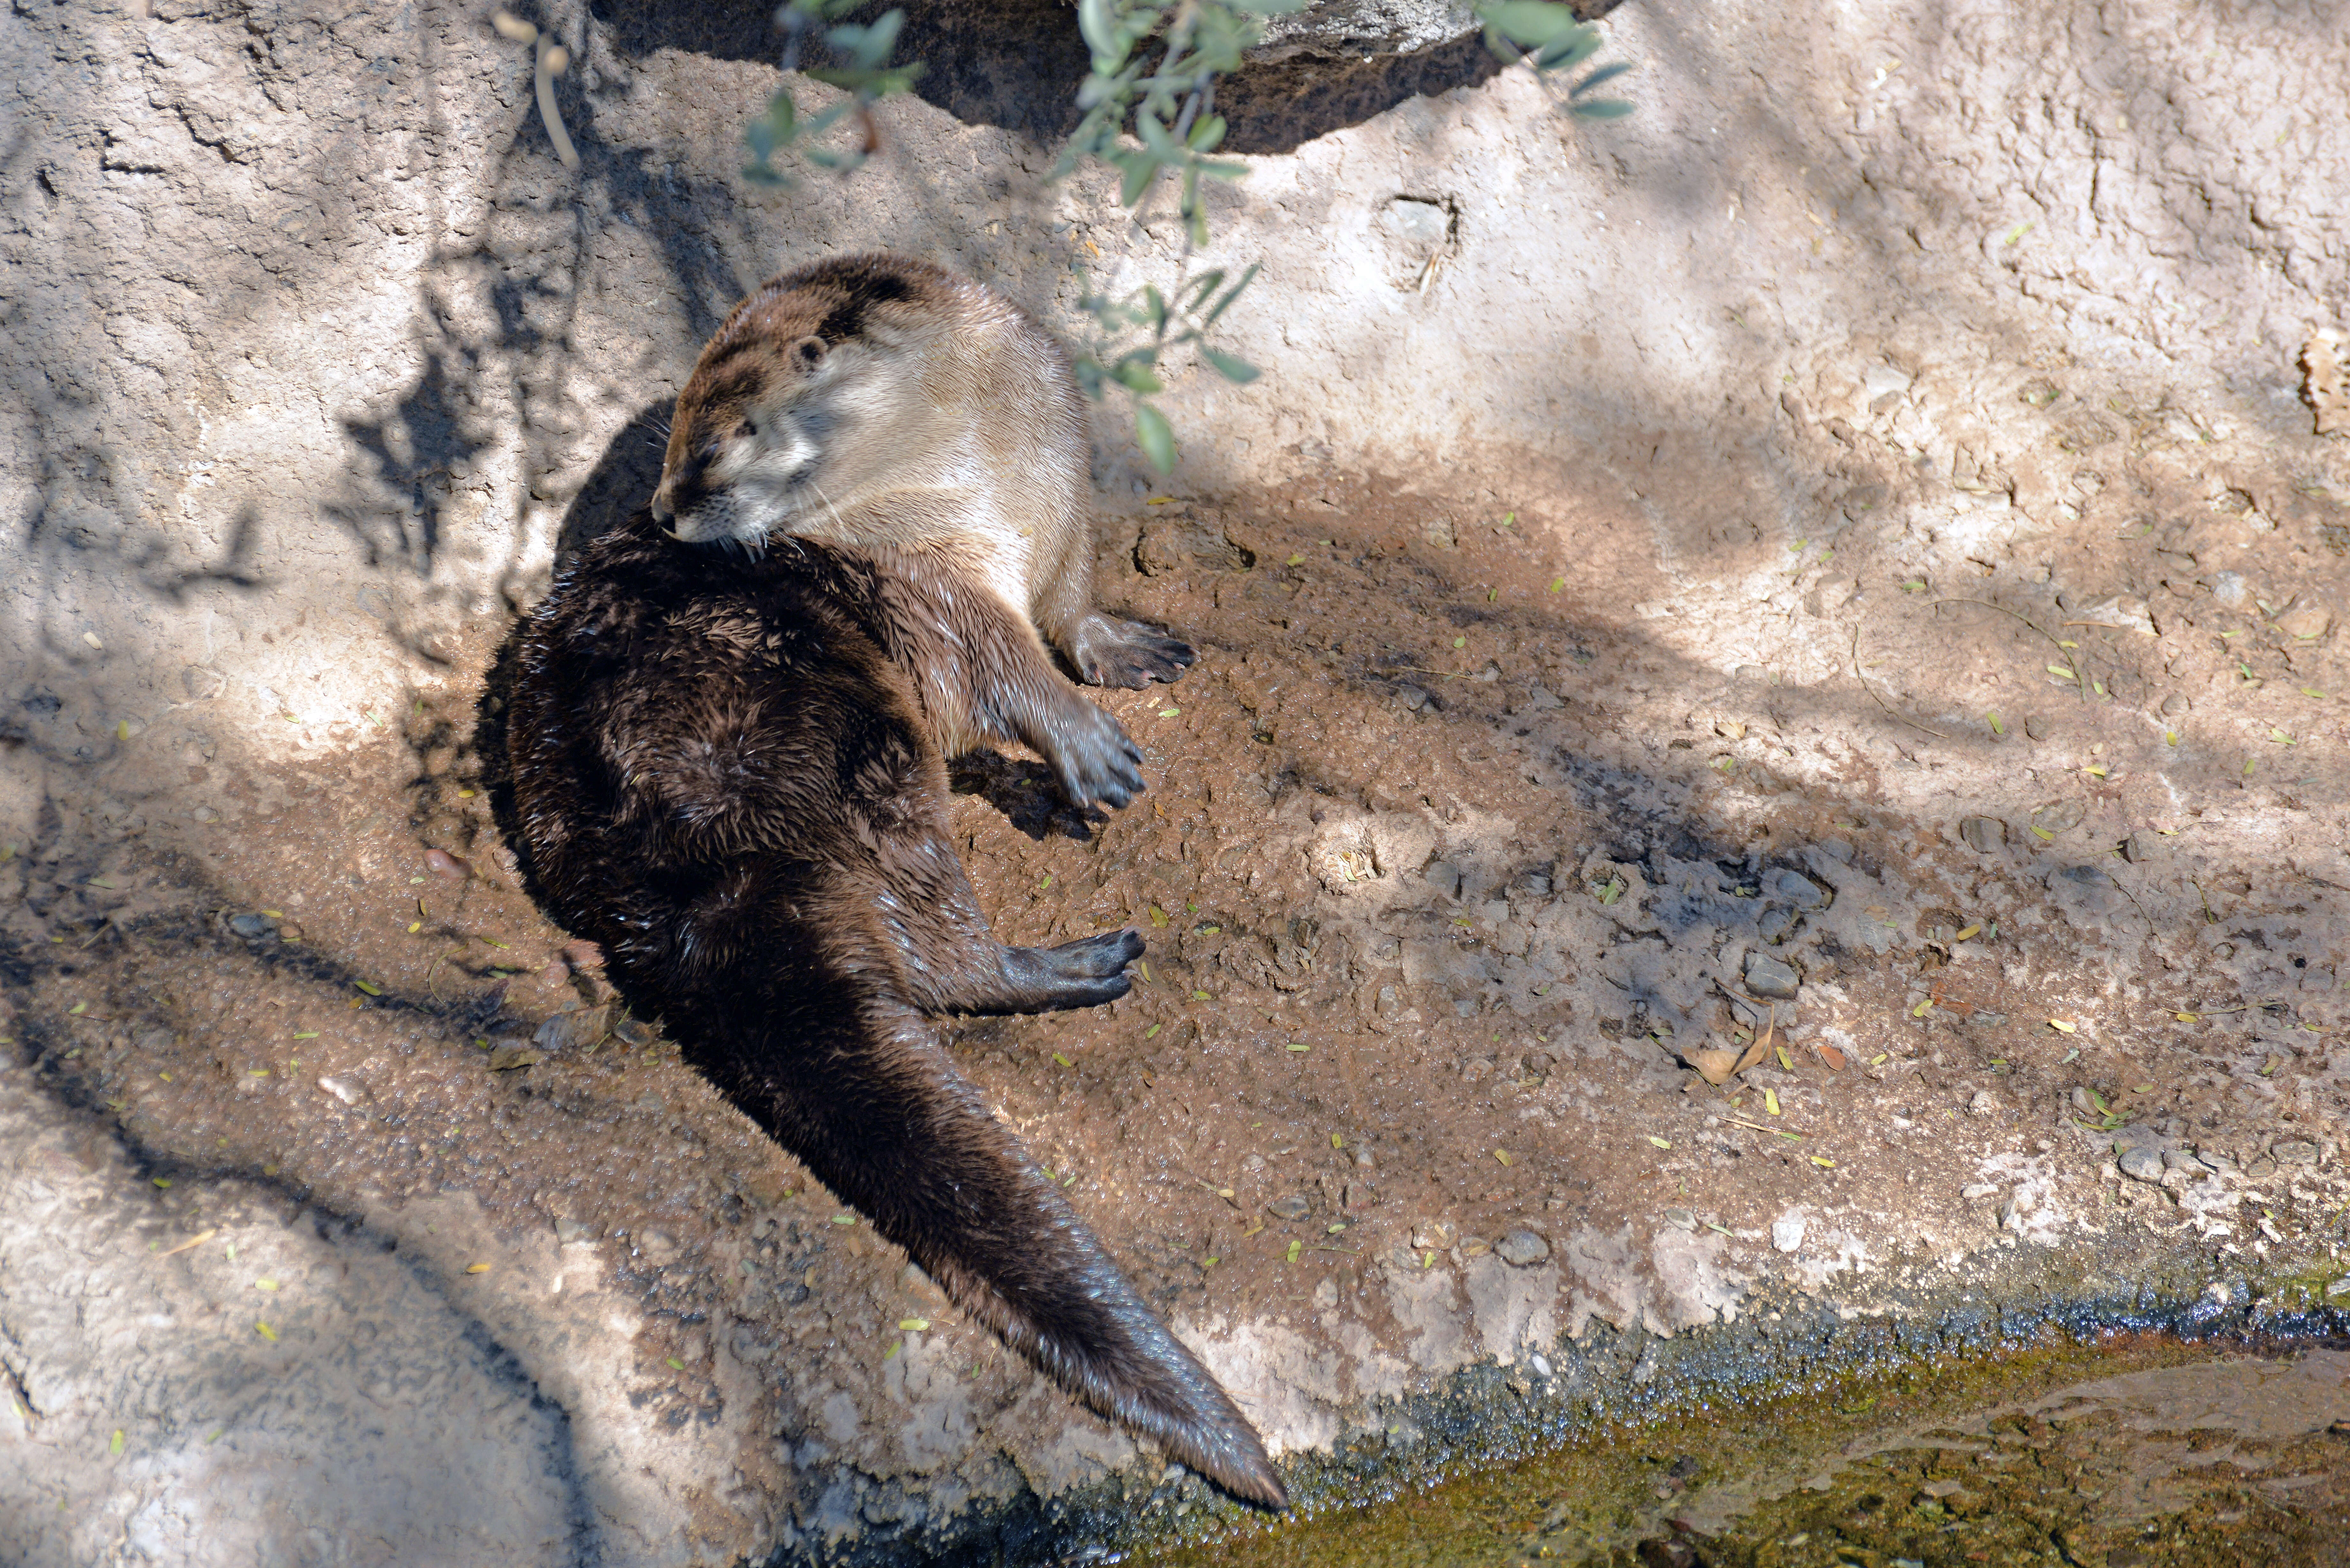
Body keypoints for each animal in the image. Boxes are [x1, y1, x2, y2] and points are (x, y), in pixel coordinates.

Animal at [500, 512, 1288, 1504]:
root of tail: (689, 865)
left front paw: (1128, 646)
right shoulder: (934, 589)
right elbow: (1000, 669)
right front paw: (1076, 743)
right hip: (853, 737)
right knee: (942, 943)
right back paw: (1074, 963)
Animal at [653, 253, 1194, 691]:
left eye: (711, 448)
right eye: (675, 422)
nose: (662, 513)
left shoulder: (1065, 484)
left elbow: (1073, 588)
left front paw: (1127, 648)